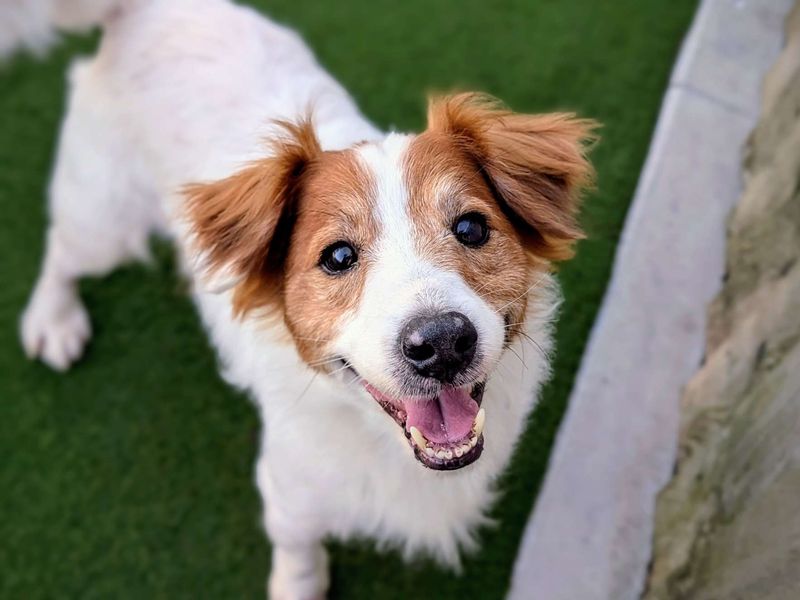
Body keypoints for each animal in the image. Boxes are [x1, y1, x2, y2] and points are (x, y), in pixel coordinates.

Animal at [6, 2, 592, 596]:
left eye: (472, 228)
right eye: (337, 256)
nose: (444, 343)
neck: (379, 435)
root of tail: (143, 9)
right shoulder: (289, 487)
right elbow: (298, 550)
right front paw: (298, 584)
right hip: (104, 220)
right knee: (61, 249)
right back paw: (53, 319)